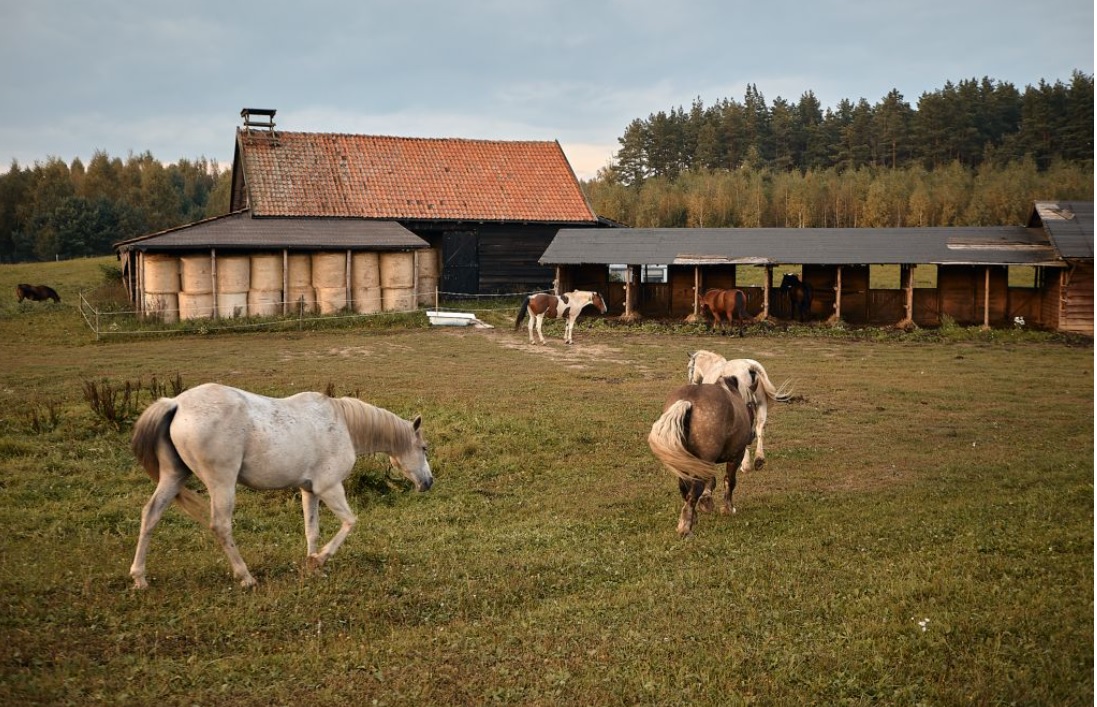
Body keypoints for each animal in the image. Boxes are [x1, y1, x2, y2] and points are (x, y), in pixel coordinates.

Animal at [128, 384, 432, 588]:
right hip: (221, 483)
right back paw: (246, 577)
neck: (343, 424)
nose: (428, 482)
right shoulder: (330, 488)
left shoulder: (309, 491)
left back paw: (139, 578)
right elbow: (350, 522)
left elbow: (312, 530)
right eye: (424, 448)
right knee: (221, 525)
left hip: (174, 476)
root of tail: (176, 404)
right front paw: (320, 559)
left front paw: (314, 565)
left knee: (150, 514)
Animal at [645, 382, 759, 535]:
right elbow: (729, 481)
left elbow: (711, 481)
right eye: (753, 404)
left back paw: (692, 518)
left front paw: (706, 502)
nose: (753, 435)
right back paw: (686, 528)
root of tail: (687, 401)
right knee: (694, 491)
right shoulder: (736, 456)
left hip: (684, 463)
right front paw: (728, 508)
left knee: (685, 488)